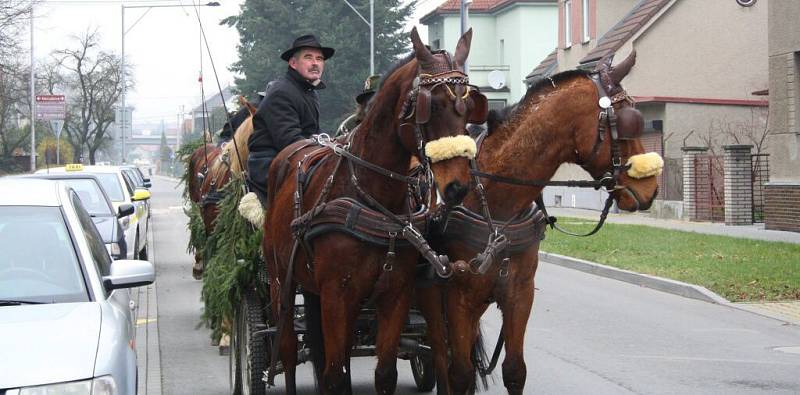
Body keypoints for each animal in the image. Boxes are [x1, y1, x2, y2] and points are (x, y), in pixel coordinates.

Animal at [262, 27, 484, 392]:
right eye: (432, 106)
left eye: (468, 108)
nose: (457, 187)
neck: (370, 194)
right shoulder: (338, 296)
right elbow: (336, 374)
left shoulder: (394, 294)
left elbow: (384, 374)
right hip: (282, 281)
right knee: (289, 352)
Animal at [418, 52, 664, 395]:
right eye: (627, 124)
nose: (650, 189)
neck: (497, 207)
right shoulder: (457, 296)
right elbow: (460, 373)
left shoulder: (519, 295)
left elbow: (514, 370)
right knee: (442, 360)